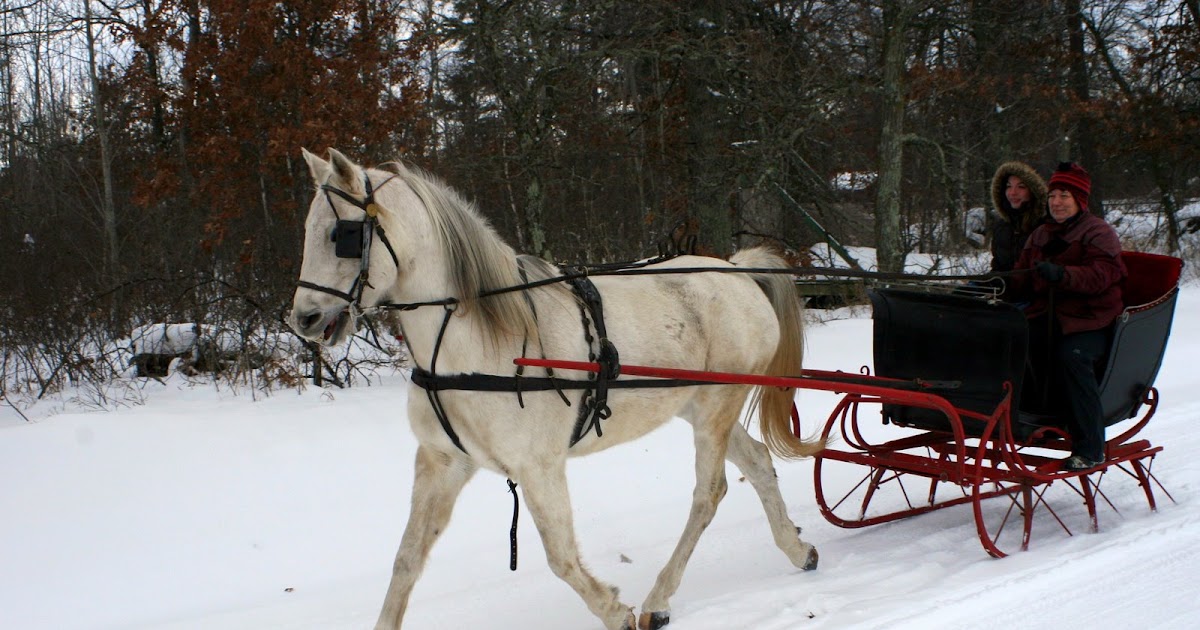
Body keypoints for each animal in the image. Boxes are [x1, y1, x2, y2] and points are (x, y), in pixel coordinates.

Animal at [288, 148, 823, 630]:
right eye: (308, 230)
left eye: (342, 235)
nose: (304, 319)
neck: (475, 346)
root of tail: (736, 270)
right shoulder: (443, 463)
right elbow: (406, 559)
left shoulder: (539, 467)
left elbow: (560, 556)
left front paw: (615, 611)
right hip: (697, 405)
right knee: (757, 463)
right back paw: (797, 549)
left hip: (716, 406)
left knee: (708, 494)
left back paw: (658, 599)